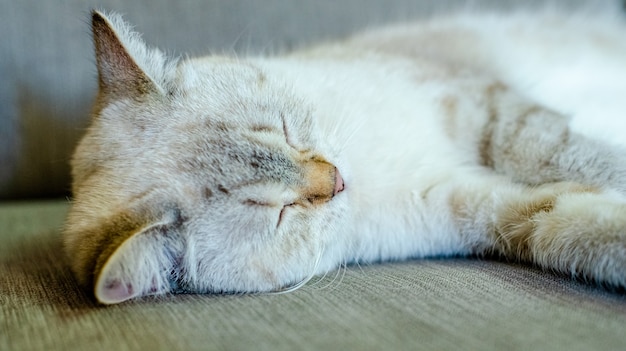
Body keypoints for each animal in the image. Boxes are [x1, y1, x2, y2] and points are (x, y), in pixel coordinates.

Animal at [64, 8, 624, 306]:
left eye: (283, 130)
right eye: (280, 212)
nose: (334, 179)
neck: (367, 168)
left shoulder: (481, 105)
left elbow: (569, 155)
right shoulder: (485, 208)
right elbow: (576, 228)